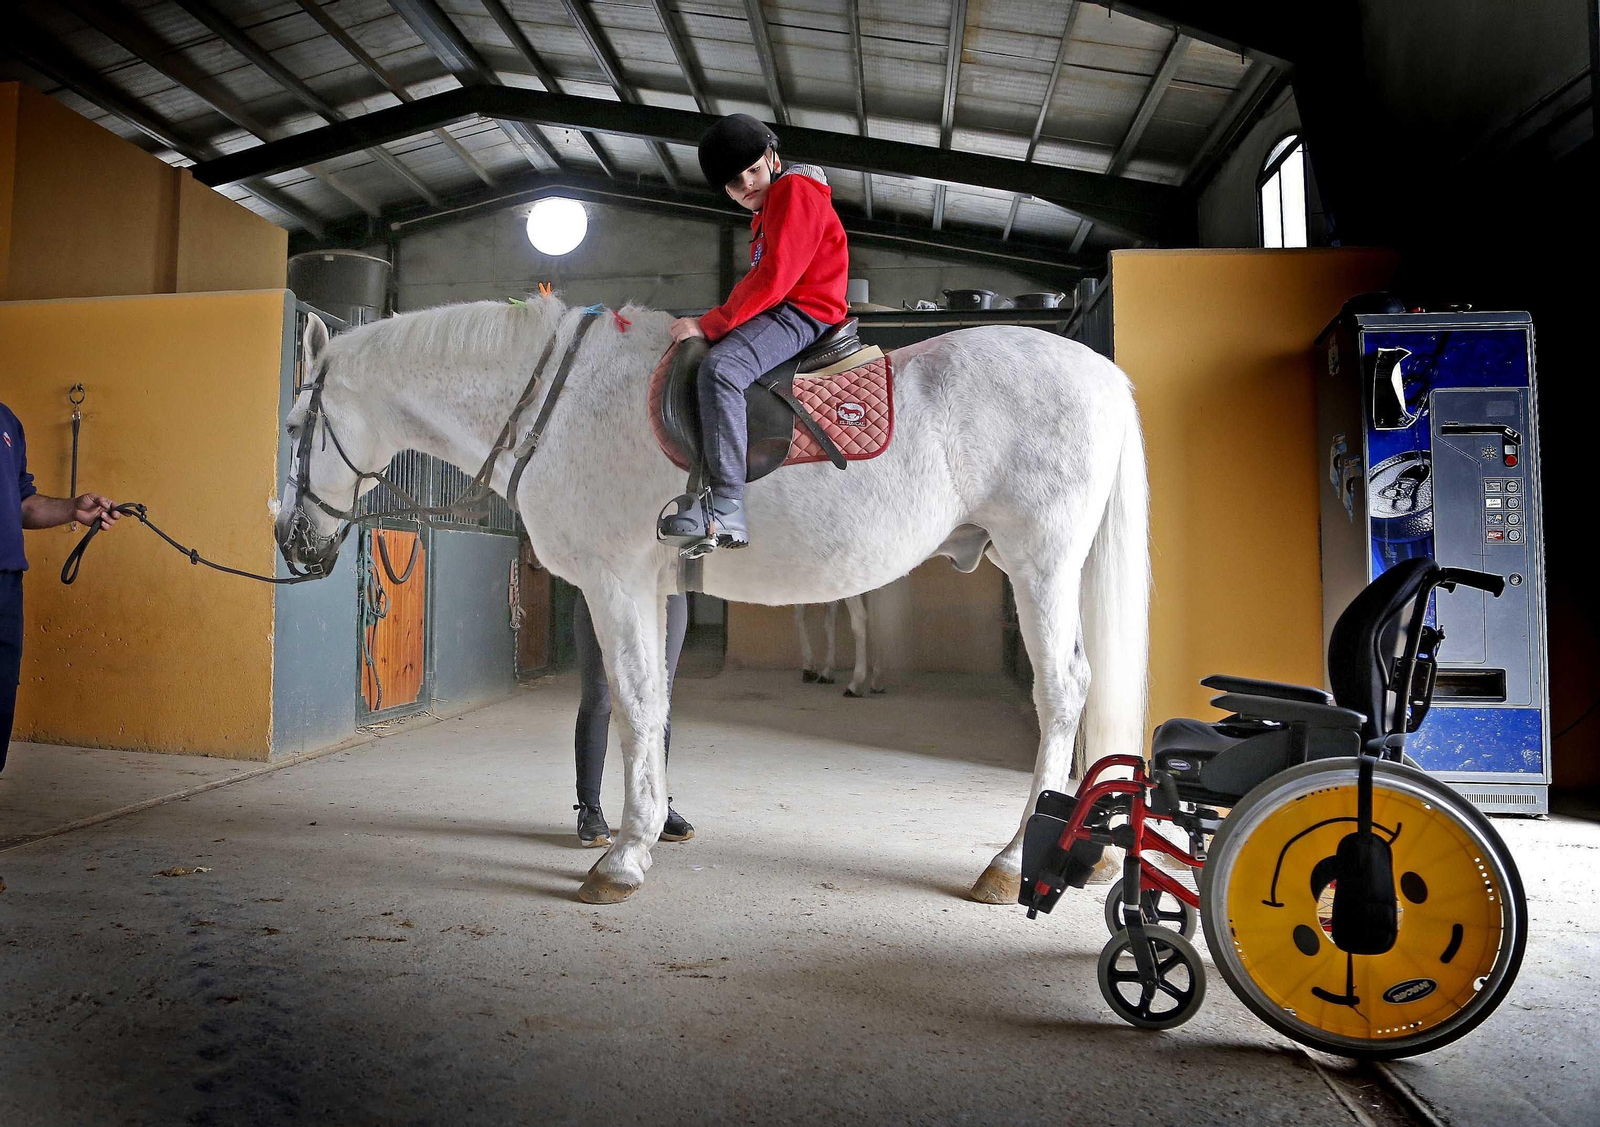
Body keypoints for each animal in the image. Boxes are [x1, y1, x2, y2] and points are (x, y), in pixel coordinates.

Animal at [275, 295, 1150, 905]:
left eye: (291, 425)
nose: (290, 539)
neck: (563, 406)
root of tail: (1104, 373)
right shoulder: (647, 589)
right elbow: (652, 707)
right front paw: (646, 828)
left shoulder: (616, 580)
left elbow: (634, 703)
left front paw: (623, 857)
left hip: (1042, 562)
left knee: (1063, 690)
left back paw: (1008, 861)